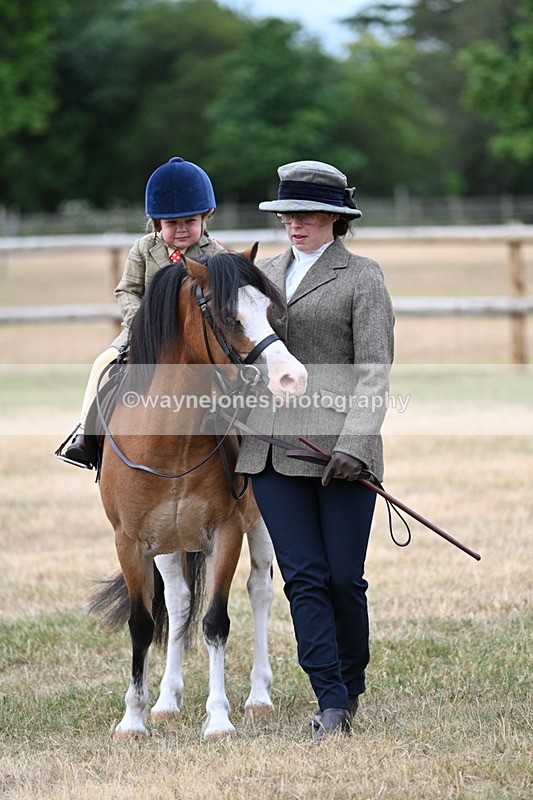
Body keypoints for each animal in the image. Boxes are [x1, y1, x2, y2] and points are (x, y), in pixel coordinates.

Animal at [89, 245, 307, 739]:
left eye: (269, 310)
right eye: (229, 316)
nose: (293, 378)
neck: (170, 441)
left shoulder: (226, 532)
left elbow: (216, 623)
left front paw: (219, 718)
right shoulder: (130, 541)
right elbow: (142, 623)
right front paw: (133, 719)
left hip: (260, 525)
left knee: (260, 590)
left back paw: (259, 696)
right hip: (168, 543)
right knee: (177, 600)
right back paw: (167, 701)